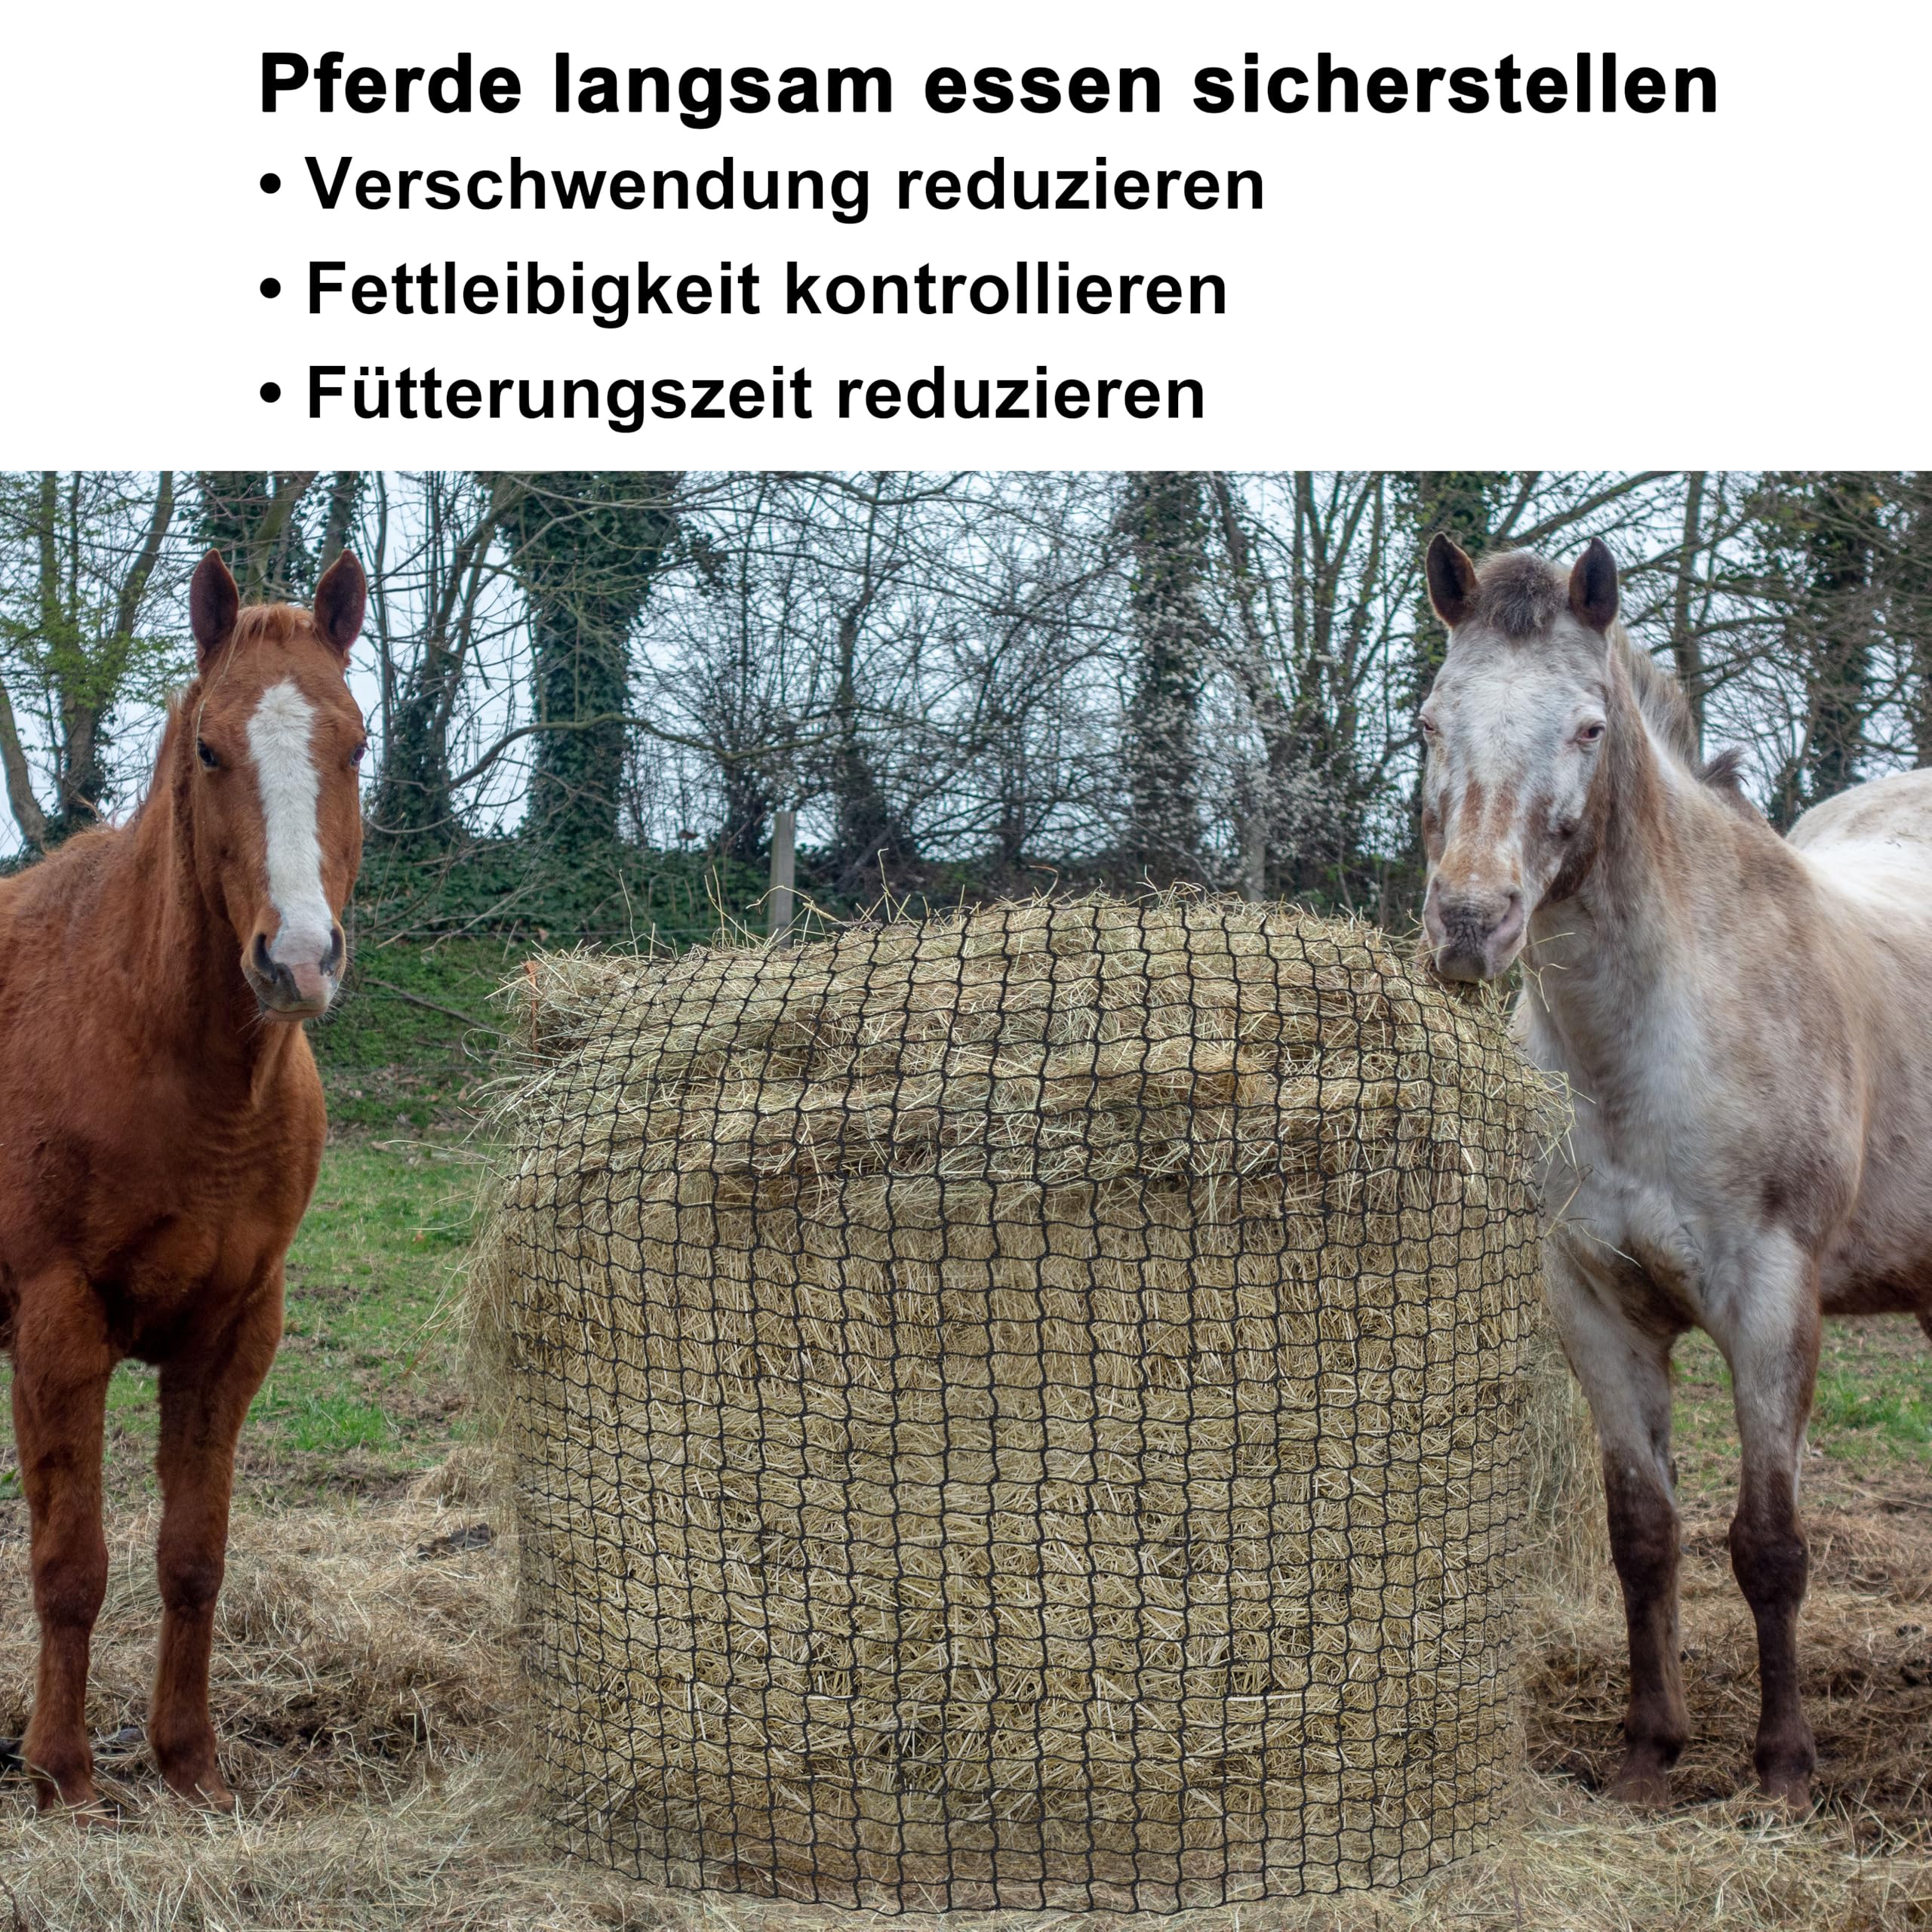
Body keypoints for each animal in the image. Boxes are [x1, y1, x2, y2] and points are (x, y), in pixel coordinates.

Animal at [0, 548, 367, 1811]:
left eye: (356, 746)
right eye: (210, 750)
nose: (297, 959)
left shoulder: (233, 1332)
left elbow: (193, 1559)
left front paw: (189, 1761)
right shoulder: (59, 1327)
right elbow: (70, 1564)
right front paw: (63, 1775)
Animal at [1419, 532, 1932, 1810]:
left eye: (1588, 727)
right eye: (1429, 721)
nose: (1469, 925)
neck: (1646, 1041)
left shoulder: (1770, 1303)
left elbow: (1769, 1545)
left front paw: (1784, 1767)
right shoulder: (1595, 1308)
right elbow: (1642, 1534)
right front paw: (1650, 1753)